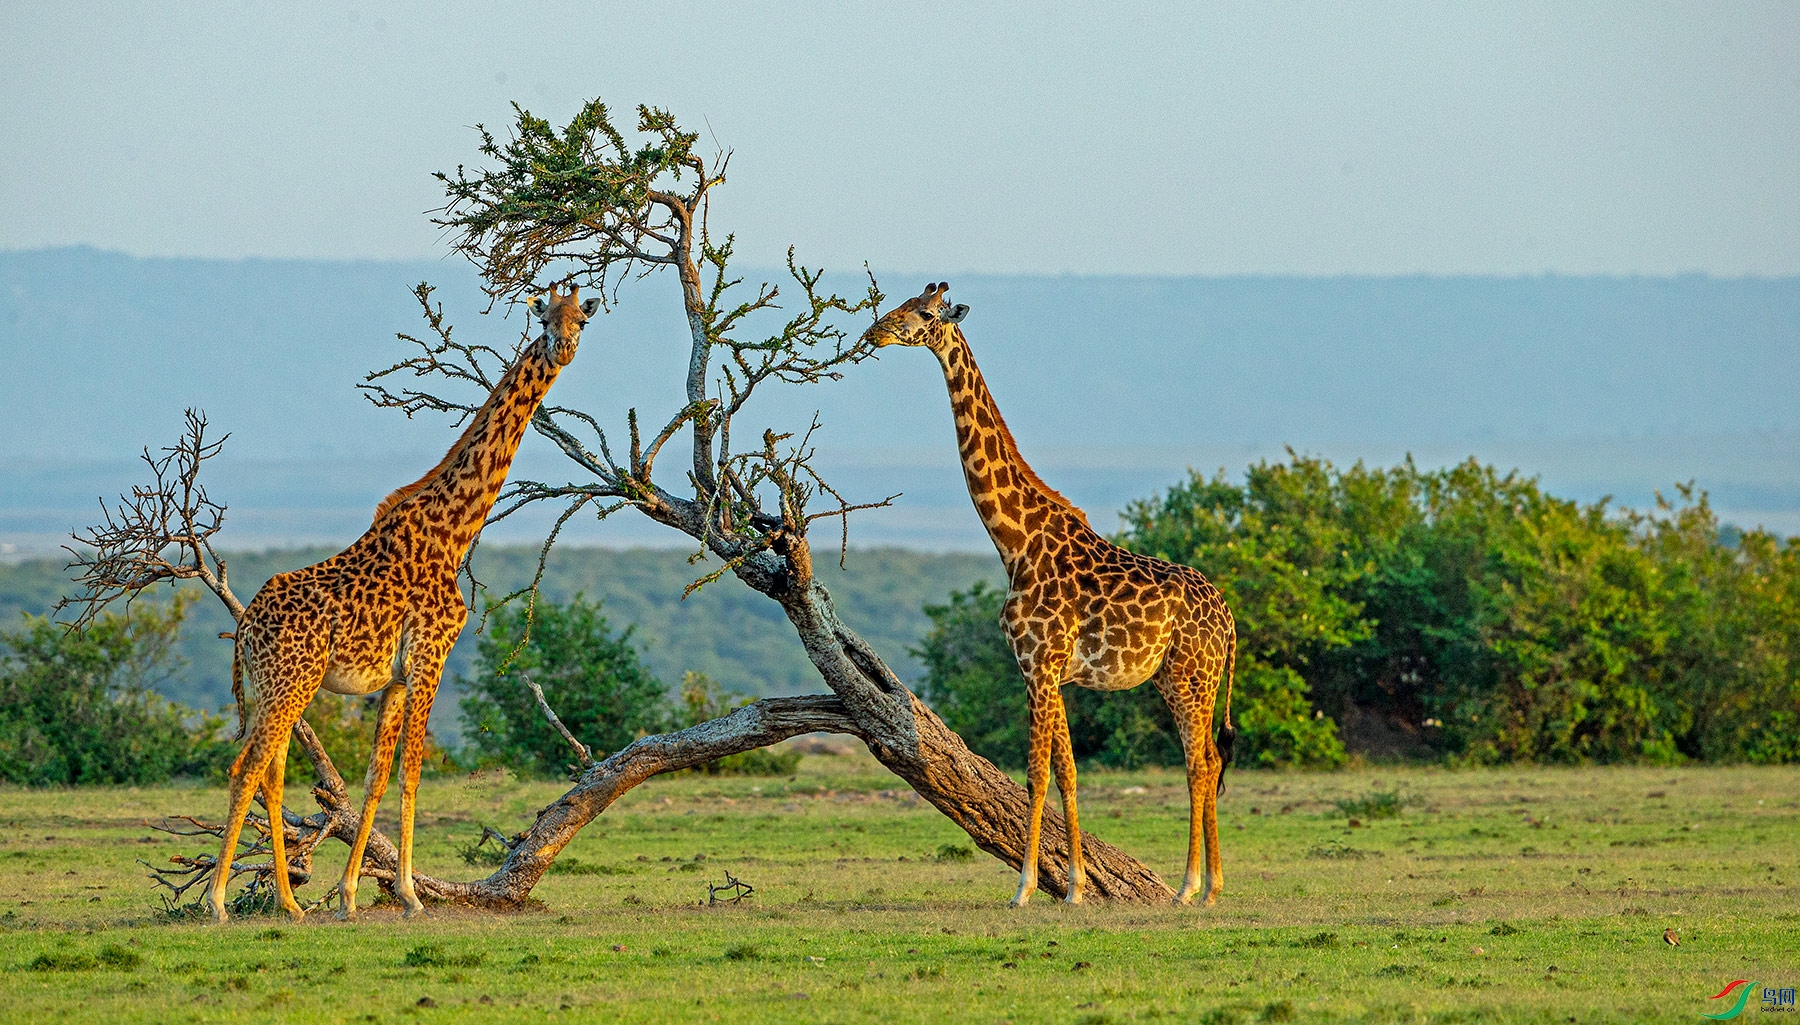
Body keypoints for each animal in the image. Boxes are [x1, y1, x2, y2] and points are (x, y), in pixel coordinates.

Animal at [208, 284, 604, 922]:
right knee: (247, 766)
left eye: (582, 320)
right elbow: (413, 774)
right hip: (293, 680)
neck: (455, 528)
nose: (562, 347)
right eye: (544, 317)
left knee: (269, 770)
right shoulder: (430, 659)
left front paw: (348, 895)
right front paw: (412, 895)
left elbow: (376, 775)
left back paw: (291, 903)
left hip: (276, 686)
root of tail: (244, 630)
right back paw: (220, 901)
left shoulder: (395, 677)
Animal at [860, 281, 1238, 904]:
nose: (874, 331)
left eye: (923, 312)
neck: (1015, 543)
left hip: (1192, 676)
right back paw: (1207, 886)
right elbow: (1067, 772)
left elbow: (1036, 773)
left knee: (1200, 761)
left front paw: (1024, 889)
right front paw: (1076, 888)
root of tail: (1230, 621)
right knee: (1207, 758)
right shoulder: (1050, 670)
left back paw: (1193, 887)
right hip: (1172, 676)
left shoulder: (1038, 664)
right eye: (902, 301)